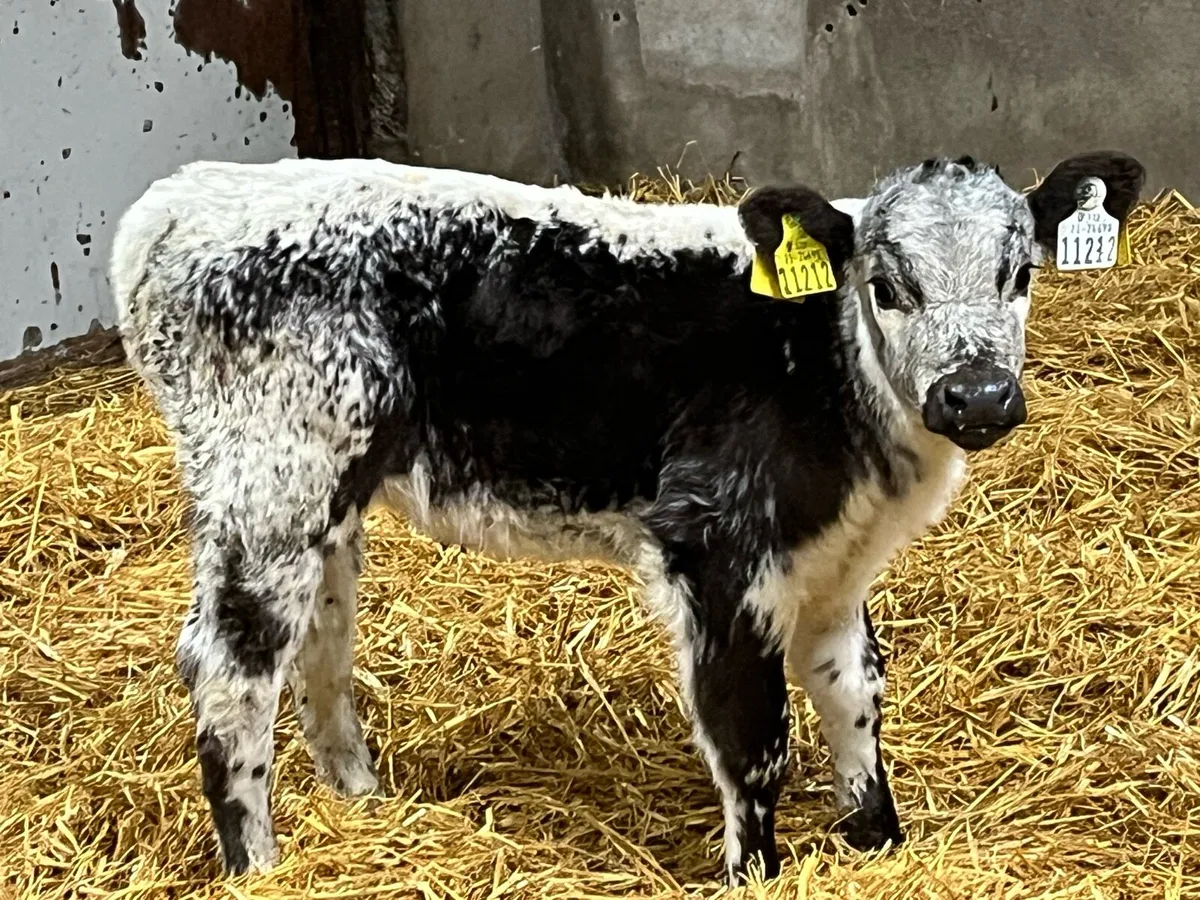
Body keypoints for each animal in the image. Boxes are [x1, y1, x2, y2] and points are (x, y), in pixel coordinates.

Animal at [110, 151, 1144, 884]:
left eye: (1019, 273)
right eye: (887, 286)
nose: (977, 396)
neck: (821, 360)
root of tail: (178, 201)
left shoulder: (836, 557)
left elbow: (851, 692)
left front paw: (880, 842)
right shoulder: (714, 546)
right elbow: (751, 730)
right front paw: (758, 872)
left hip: (327, 496)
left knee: (320, 645)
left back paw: (362, 804)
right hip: (268, 482)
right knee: (232, 669)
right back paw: (259, 866)